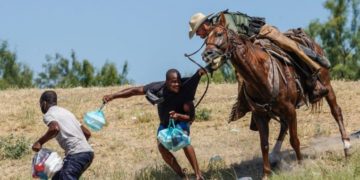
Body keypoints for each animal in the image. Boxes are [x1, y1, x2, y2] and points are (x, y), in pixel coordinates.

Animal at [201, 13, 350, 178]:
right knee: (284, 126)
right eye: (205, 39)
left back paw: (347, 147)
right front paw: (266, 174)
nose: (206, 54)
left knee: (336, 112)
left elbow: (294, 140)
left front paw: (301, 166)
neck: (262, 74)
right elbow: (264, 144)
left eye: (219, 34)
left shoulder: (290, 109)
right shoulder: (260, 115)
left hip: (326, 85)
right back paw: (274, 155)